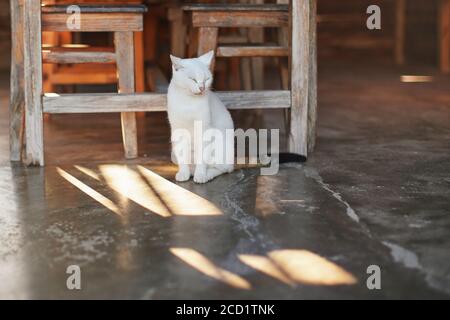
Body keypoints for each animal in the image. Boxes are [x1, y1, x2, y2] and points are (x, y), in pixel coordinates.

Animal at [167, 51, 234, 184]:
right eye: (192, 79)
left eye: (206, 79)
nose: (202, 87)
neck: (188, 101)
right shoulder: (178, 130)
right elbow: (183, 156)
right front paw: (183, 173)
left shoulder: (204, 130)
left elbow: (202, 158)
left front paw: (201, 175)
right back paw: (191, 171)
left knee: (224, 169)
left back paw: (207, 175)